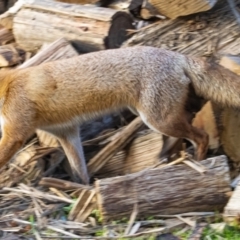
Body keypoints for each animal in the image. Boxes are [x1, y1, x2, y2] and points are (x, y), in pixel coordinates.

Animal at [0, 46, 238, 183]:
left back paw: (199, 163)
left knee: (201, 136)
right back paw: (171, 158)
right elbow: (80, 171)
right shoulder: (66, 132)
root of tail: (177, 55)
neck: (6, 88)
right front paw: (83, 193)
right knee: (187, 126)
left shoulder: (15, 134)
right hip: (157, 116)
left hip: (158, 119)